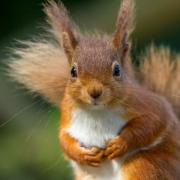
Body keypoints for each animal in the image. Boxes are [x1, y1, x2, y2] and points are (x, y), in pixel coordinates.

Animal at [8, 0, 180, 180]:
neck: (97, 112)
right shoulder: (67, 115)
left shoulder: (149, 104)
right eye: (73, 71)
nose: (95, 92)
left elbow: (153, 122)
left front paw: (120, 144)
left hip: (144, 164)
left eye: (117, 70)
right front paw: (81, 154)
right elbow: (64, 140)